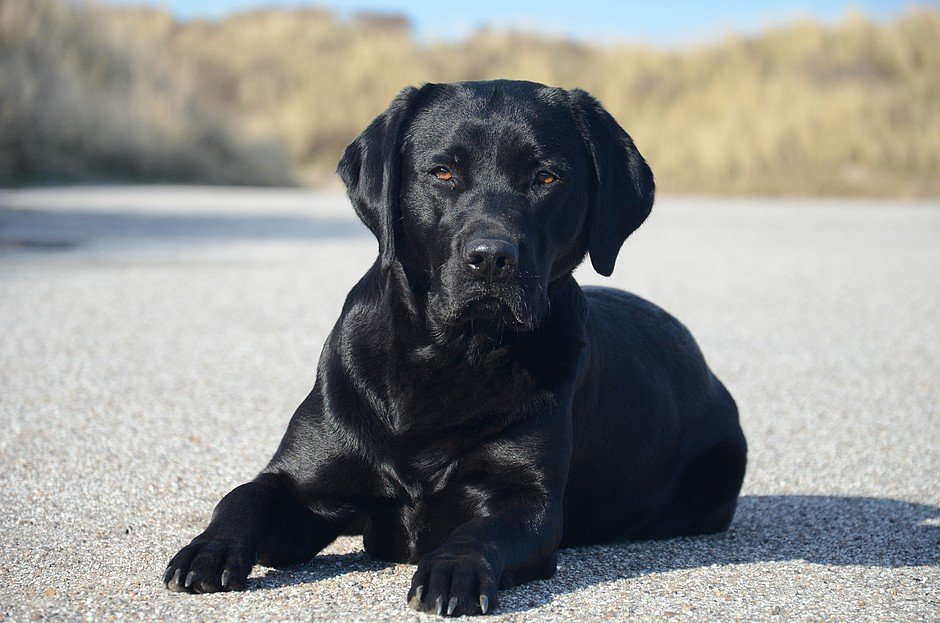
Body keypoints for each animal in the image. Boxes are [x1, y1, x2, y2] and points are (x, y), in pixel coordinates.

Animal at [163, 80, 747, 617]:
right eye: (443, 172)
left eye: (547, 177)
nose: (491, 258)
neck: (450, 356)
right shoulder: (305, 487)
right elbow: (245, 495)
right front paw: (206, 550)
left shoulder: (528, 501)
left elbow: (480, 532)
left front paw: (452, 570)